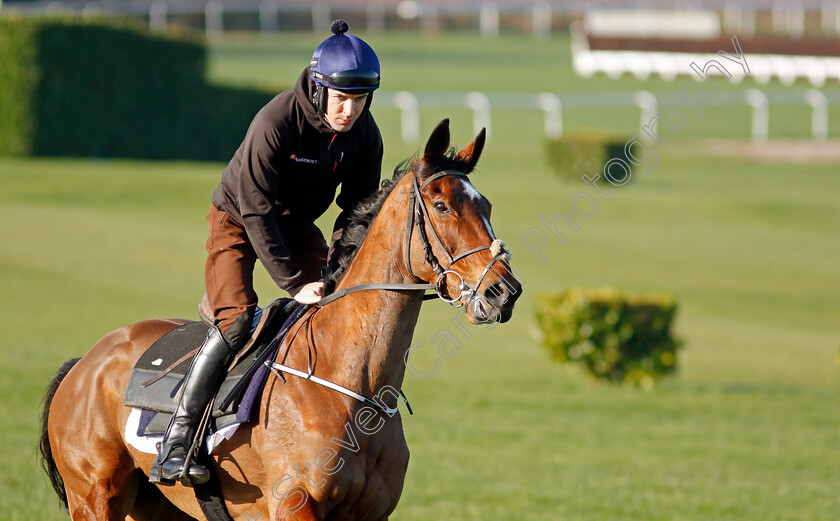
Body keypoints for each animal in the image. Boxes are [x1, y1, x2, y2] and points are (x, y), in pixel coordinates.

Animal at [42, 119, 520, 520]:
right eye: (441, 205)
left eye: (486, 205)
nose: (505, 292)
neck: (352, 382)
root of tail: (85, 364)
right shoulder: (294, 505)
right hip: (95, 498)